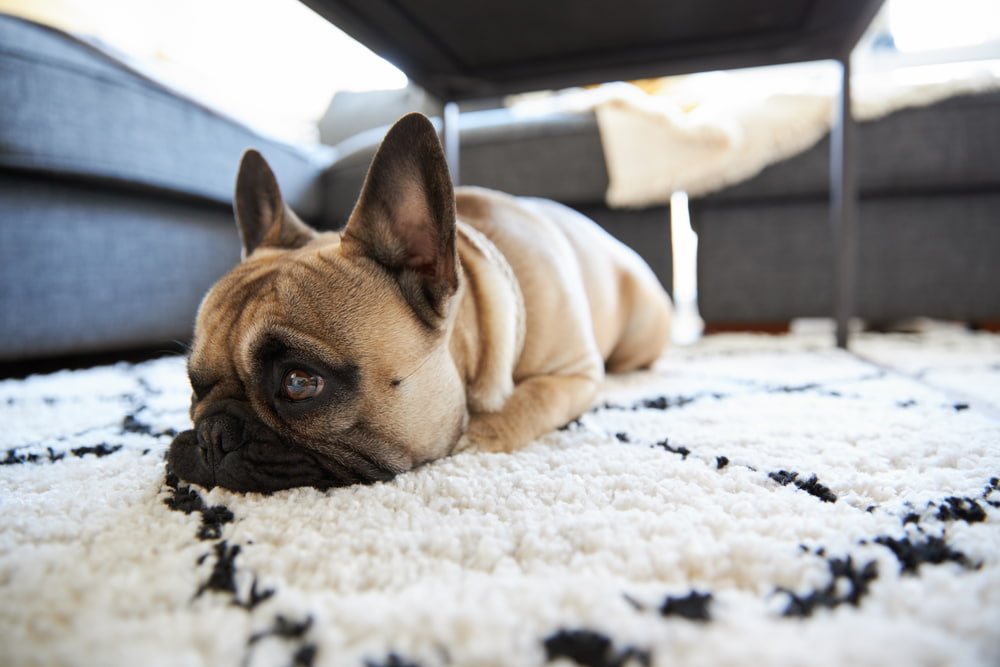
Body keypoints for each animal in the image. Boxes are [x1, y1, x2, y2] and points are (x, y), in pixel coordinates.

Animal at [168, 112, 672, 494]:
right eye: (193, 385)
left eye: (299, 383)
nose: (212, 435)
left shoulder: (577, 372)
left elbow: (534, 399)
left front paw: (480, 436)